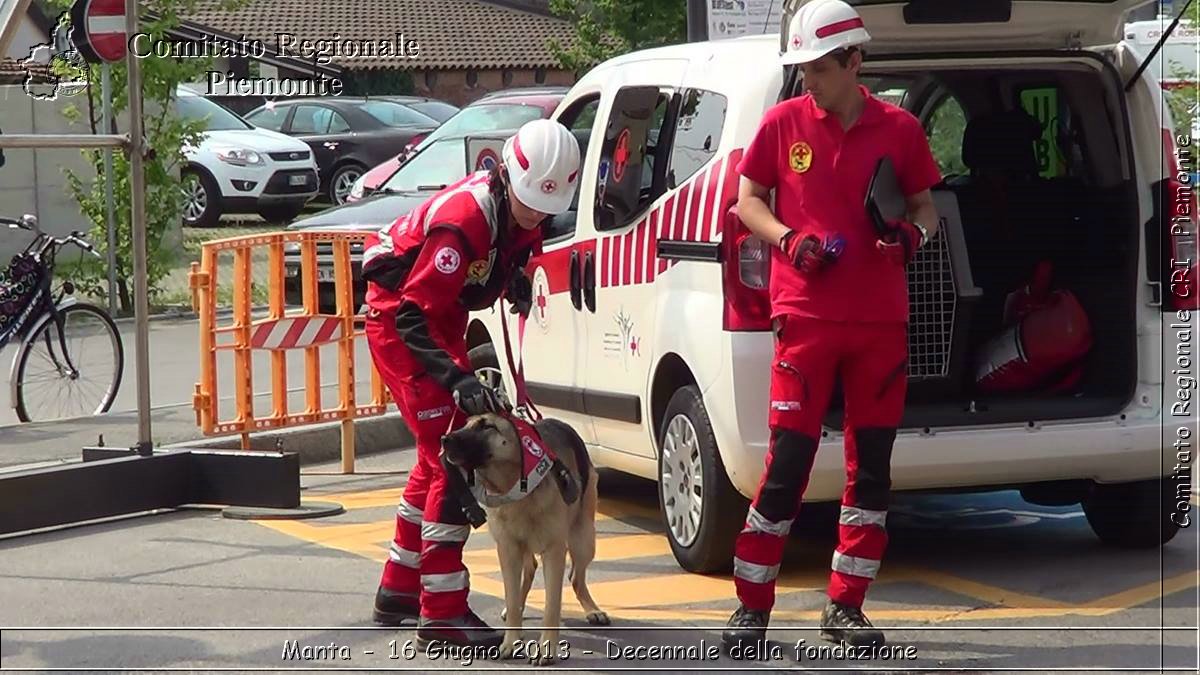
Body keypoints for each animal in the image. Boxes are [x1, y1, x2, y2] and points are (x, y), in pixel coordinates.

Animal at [441, 410, 609, 662]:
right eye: (465, 424)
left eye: (487, 427)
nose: (444, 439)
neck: (518, 489)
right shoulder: (507, 549)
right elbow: (511, 599)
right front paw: (511, 641)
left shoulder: (554, 551)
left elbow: (552, 605)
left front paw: (546, 648)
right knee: (530, 569)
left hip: (583, 540)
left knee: (575, 577)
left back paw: (592, 609)